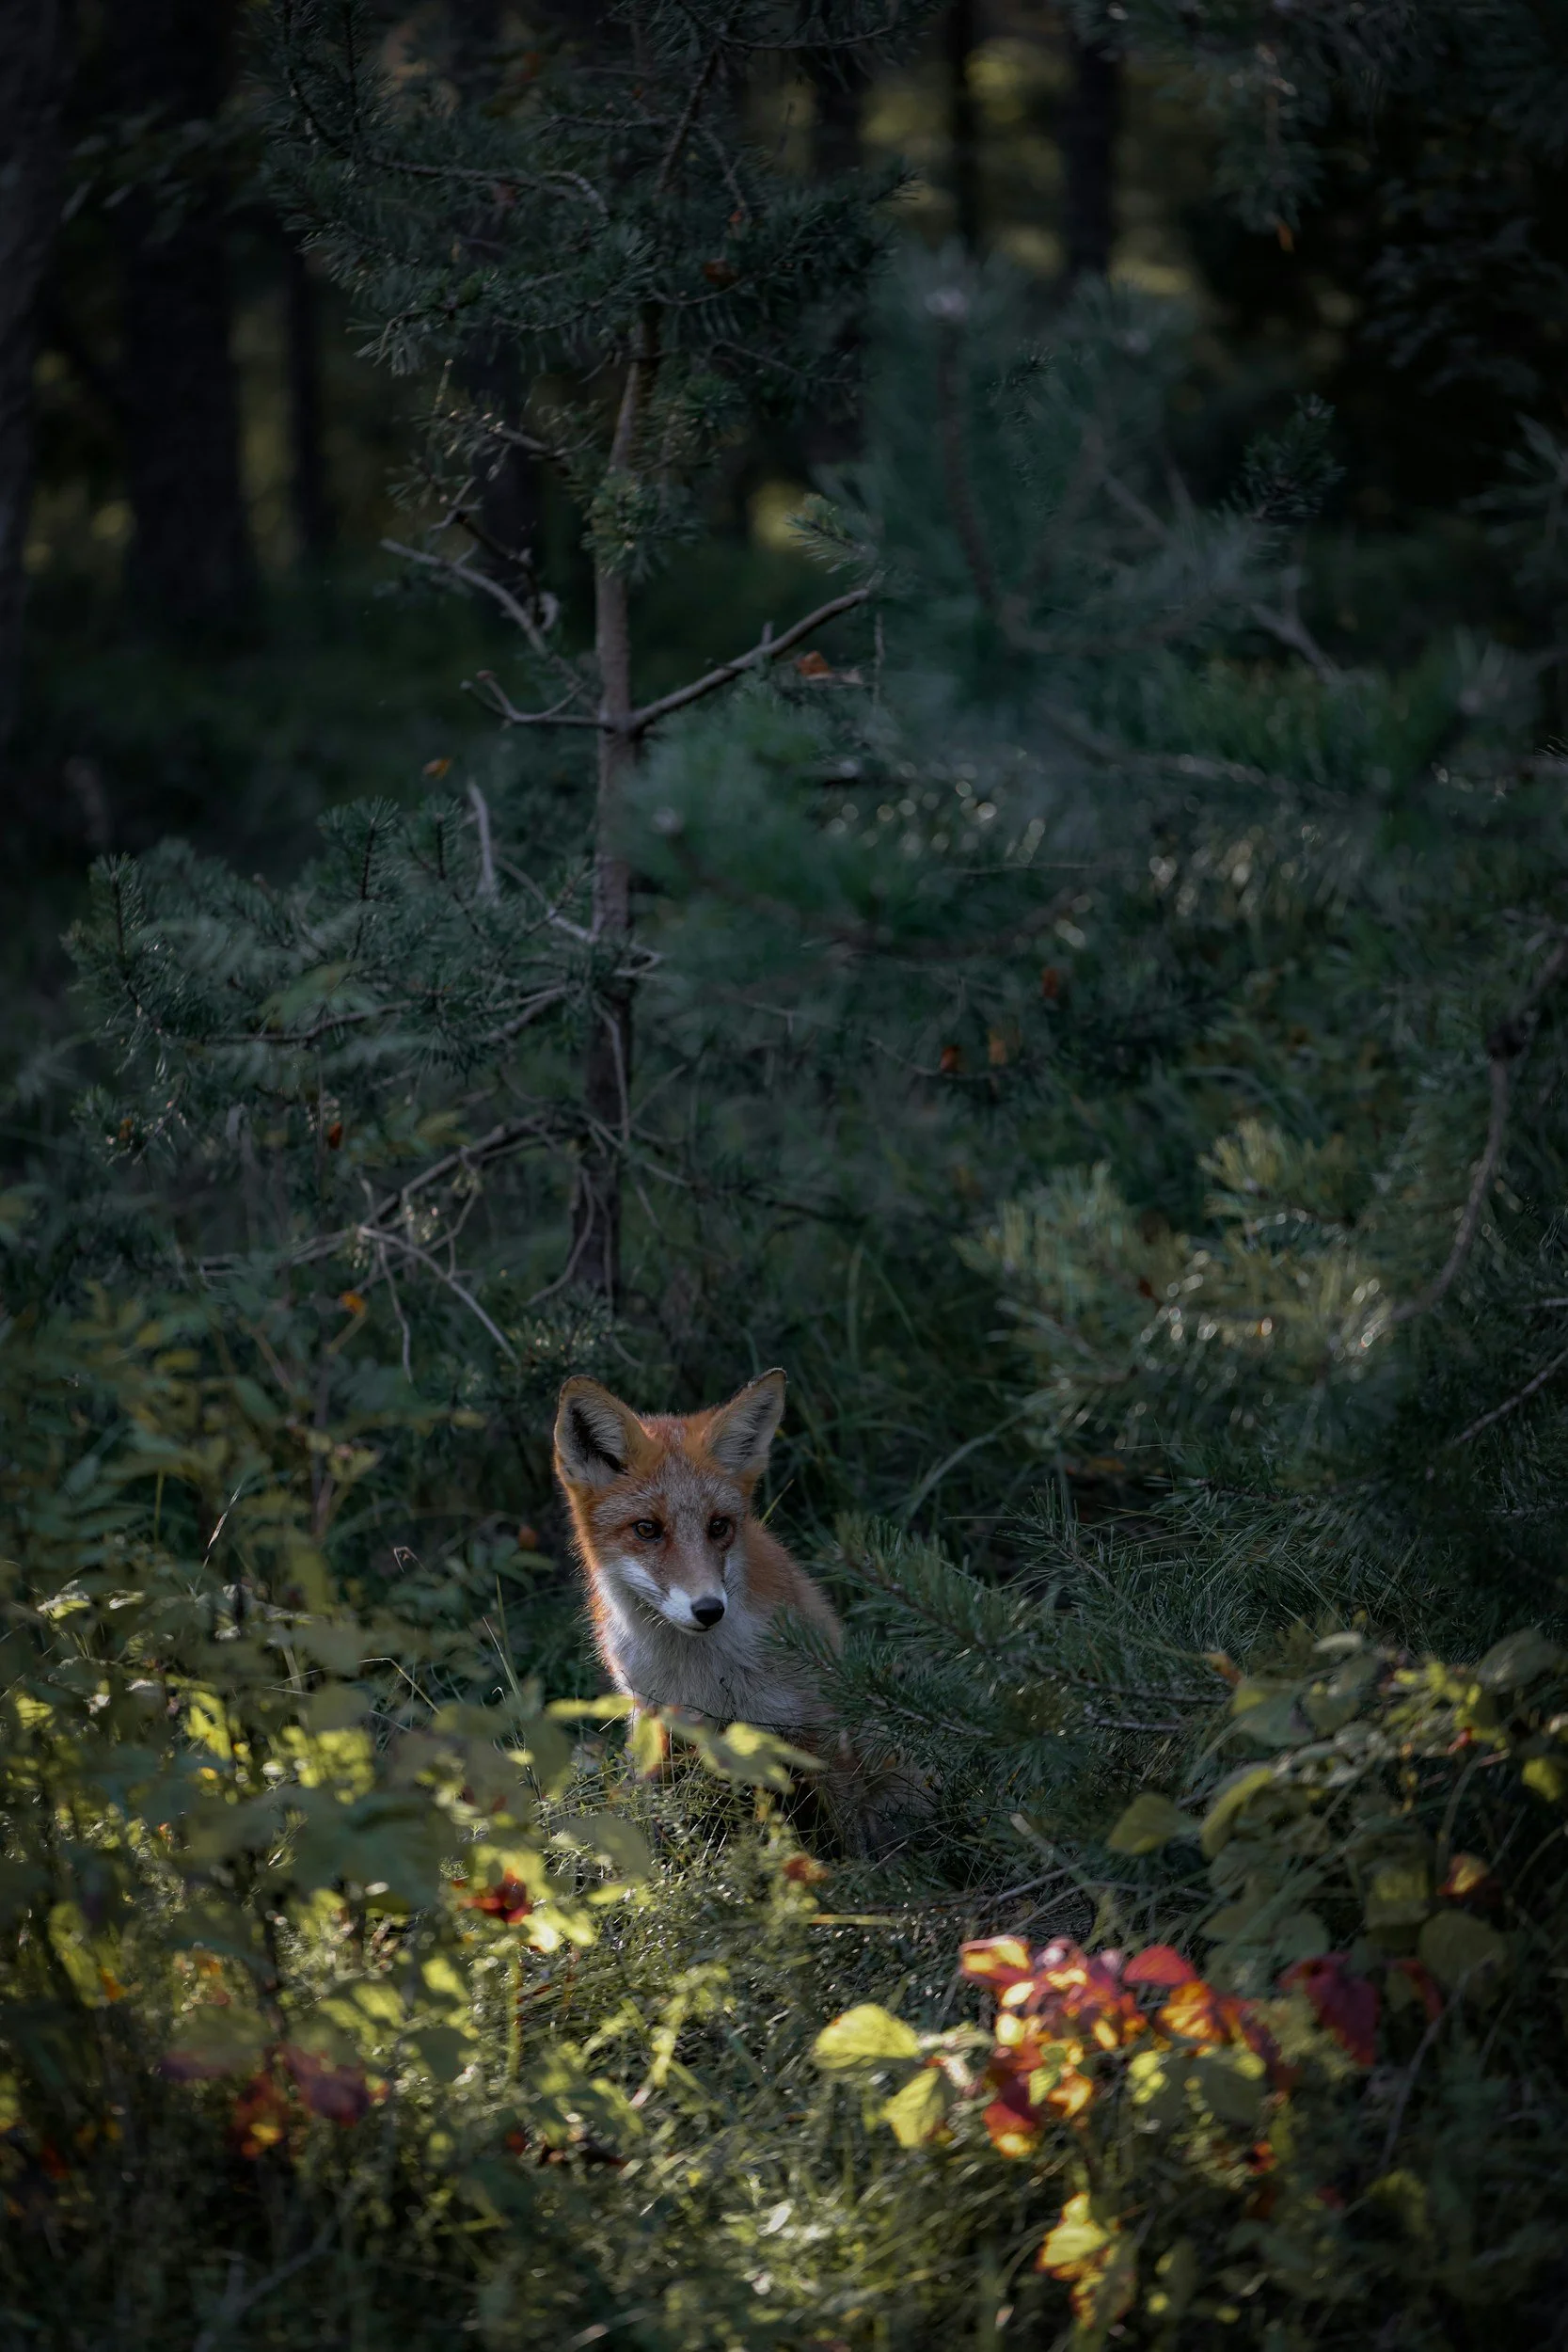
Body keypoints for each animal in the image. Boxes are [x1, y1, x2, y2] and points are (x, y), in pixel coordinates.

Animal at [552, 1366, 840, 1737]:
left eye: (718, 1526)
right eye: (647, 1529)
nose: (709, 1610)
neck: (694, 1675)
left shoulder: (809, 1722)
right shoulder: (654, 1715)